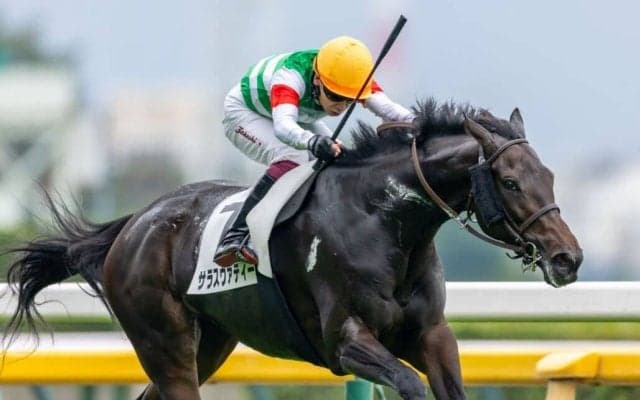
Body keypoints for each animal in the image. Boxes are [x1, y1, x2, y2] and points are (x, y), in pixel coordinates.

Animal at [2, 99, 582, 400]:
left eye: (550, 176)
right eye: (510, 181)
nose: (567, 258)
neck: (384, 222)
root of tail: (133, 226)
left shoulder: (431, 335)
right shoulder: (346, 341)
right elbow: (408, 386)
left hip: (209, 343)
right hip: (162, 340)